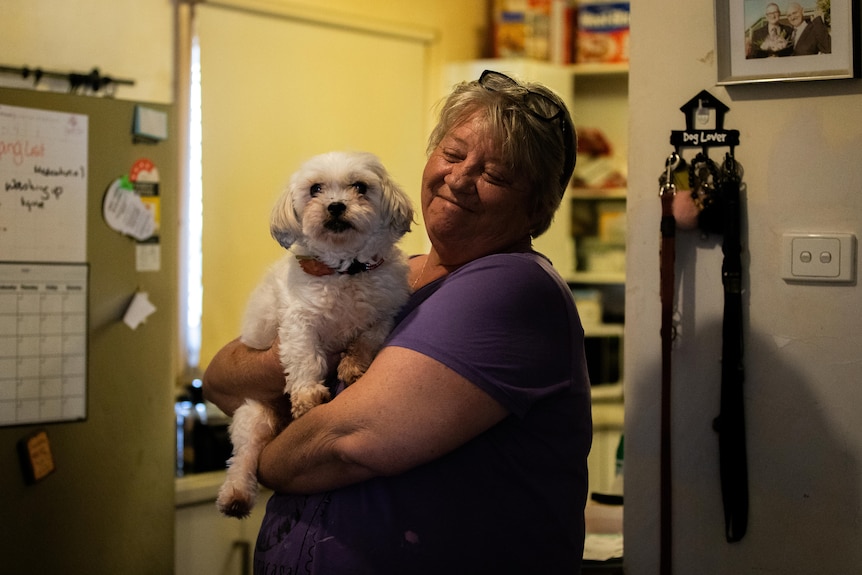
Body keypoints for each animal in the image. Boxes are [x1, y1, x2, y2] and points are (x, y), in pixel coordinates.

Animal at [219, 151, 416, 520]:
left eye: (360, 187)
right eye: (316, 189)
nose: (336, 206)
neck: (346, 271)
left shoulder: (385, 312)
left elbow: (368, 338)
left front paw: (352, 365)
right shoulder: (298, 321)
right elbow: (306, 357)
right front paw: (308, 394)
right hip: (254, 415)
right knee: (244, 457)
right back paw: (235, 494)